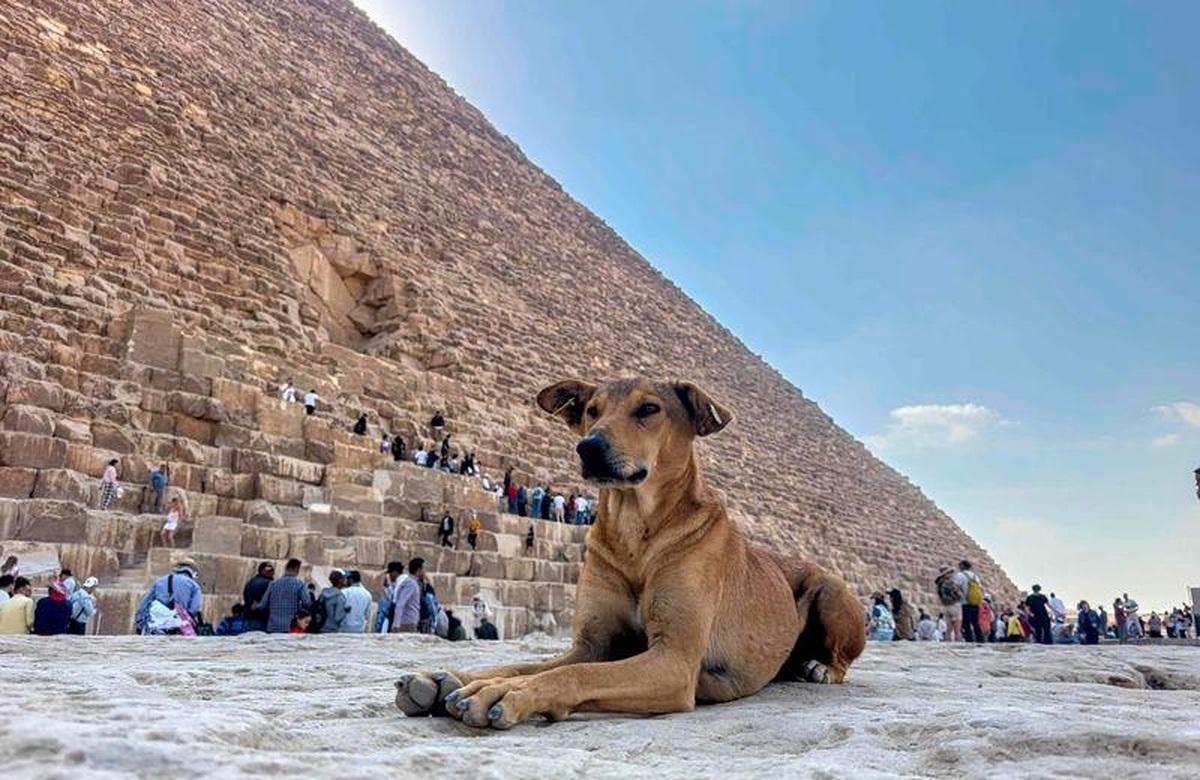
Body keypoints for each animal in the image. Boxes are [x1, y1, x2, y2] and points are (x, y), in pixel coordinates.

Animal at [396, 379, 864, 724]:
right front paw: (455, 679)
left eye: (649, 409)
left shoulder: (673, 662)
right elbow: (537, 664)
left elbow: (571, 675)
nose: (589, 447)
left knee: (840, 654)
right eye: (592, 409)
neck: (635, 532)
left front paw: (503, 693)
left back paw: (820, 668)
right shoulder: (592, 644)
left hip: (833, 589)